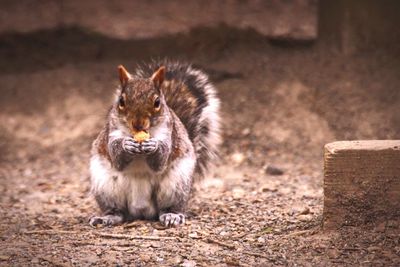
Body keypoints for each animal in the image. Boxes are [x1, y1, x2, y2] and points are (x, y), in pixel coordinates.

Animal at [88, 61, 222, 228]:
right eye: (121, 102)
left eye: (157, 102)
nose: (138, 124)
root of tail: (140, 209)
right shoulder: (111, 134)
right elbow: (117, 159)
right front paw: (126, 145)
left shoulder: (169, 133)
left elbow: (160, 161)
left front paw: (153, 146)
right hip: (106, 187)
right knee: (119, 212)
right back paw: (107, 217)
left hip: (175, 185)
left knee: (166, 208)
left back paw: (171, 215)